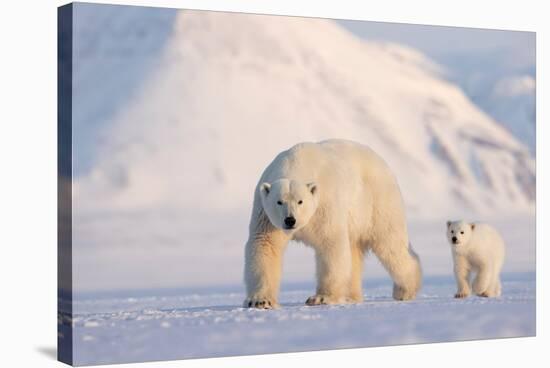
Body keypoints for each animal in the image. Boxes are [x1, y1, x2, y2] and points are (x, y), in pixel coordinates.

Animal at [243, 138, 422, 308]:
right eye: (279, 202)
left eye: (300, 201)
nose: (290, 220)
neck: (296, 162)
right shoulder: (266, 215)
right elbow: (265, 245)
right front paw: (260, 301)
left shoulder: (324, 204)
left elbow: (330, 243)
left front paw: (321, 298)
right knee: (355, 252)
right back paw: (351, 296)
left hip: (377, 201)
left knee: (390, 243)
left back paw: (405, 290)